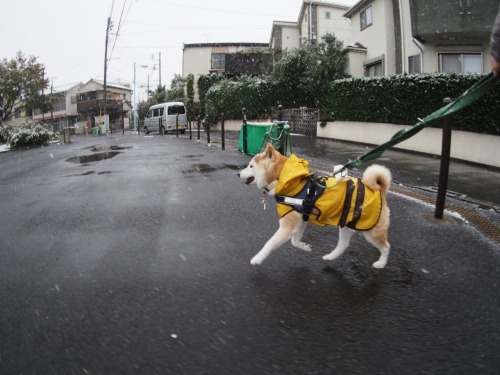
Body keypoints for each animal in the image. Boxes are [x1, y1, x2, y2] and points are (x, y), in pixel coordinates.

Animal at [236, 142, 392, 268]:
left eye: (251, 166)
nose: (238, 173)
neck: (283, 179)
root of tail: (380, 191)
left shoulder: (288, 226)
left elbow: (269, 244)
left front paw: (257, 258)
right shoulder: (301, 219)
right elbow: (295, 241)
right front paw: (305, 247)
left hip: (371, 231)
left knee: (386, 247)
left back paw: (381, 263)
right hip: (346, 224)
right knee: (343, 245)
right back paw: (330, 257)